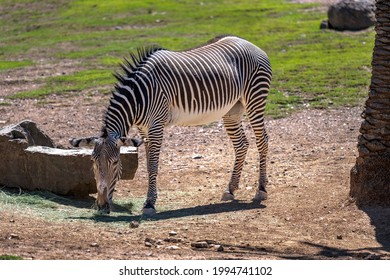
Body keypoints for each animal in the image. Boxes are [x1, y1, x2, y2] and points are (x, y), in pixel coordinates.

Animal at [70, 35, 272, 214]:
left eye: (115, 162)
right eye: (93, 162)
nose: (102, 206)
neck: (138, 96)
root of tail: (250, 43)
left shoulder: (156, 126)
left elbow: (153, 165)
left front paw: (149, 204)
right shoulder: (144, 130)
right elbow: (148, 164)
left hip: (254, 98)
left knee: (262, 140)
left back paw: (261, 190)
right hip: (232, 110)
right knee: (241, 144)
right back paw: (230, 189)